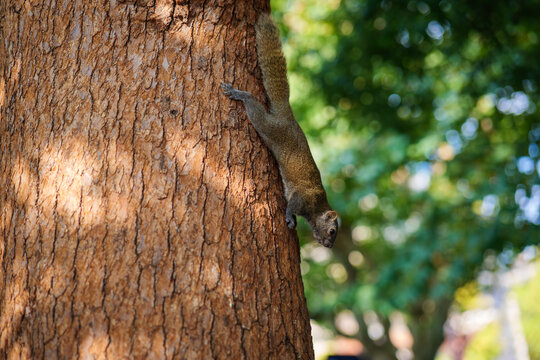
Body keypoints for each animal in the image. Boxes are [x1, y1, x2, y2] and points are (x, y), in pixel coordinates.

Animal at [220, 11, 338, 248]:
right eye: (332, 231)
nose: (329, 245)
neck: (318, 207)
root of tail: (287, 116)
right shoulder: (302, 198)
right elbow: (291, 205)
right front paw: (290, 218)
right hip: (270, 126)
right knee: (255, 110)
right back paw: (240, 94)